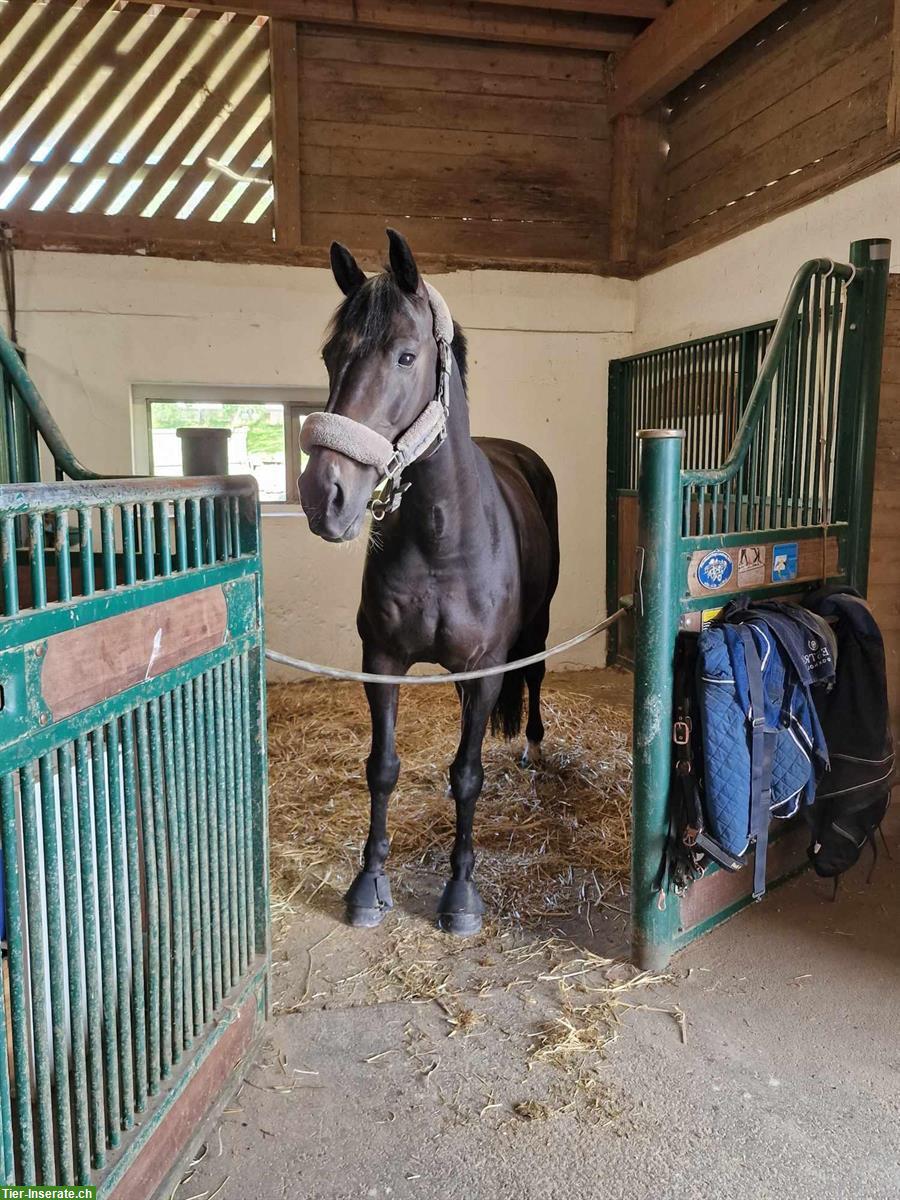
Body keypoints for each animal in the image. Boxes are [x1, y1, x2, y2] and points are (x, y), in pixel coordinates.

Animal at [301, 229, 556, 931]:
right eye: (330, 354)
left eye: (405, 356)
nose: (323, 495)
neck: (444, 537)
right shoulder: (382, 660)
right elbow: (382, 767)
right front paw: (369, 883)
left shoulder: (489, 666)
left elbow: (467, 775)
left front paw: (460, 892)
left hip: (536, 632)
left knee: (535, 682)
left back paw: (532, 750)